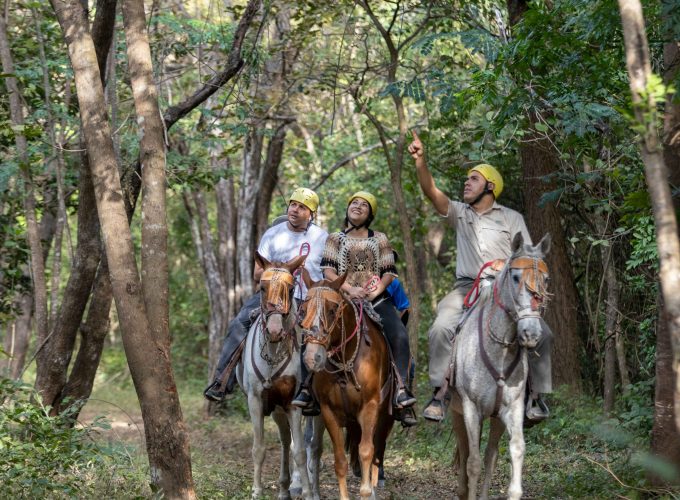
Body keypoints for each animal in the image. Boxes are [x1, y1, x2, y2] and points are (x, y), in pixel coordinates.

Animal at [236, 254, 314, 500]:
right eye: (262, 287)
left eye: (290, 289)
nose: (274, 330)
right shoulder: (255, 400)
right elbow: (259, 448)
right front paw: (256, 490)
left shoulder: (293, 403)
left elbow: (300, 451)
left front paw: (307, 492)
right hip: (277, 409)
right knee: (284, 439)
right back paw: (283, 488)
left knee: (304, 443)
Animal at [300, 274, 396, 500]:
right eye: (303, 309)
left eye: (332, 310)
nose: (312, 357)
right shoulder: (328, 411)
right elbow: (340, 461)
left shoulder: (370, 407)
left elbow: (366, 452)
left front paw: (367, 491)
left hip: (385, 416)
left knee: (377, 451)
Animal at [448, 232, 548, 498]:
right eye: (515, 277)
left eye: (546, 279)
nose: (531, 333)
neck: (499, 350)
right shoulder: (471, 408)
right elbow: (472, 462)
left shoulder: (512, 409)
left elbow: (516, 450)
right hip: (456, 411)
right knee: (465, 452)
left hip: (495, 419)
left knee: (490, 455)